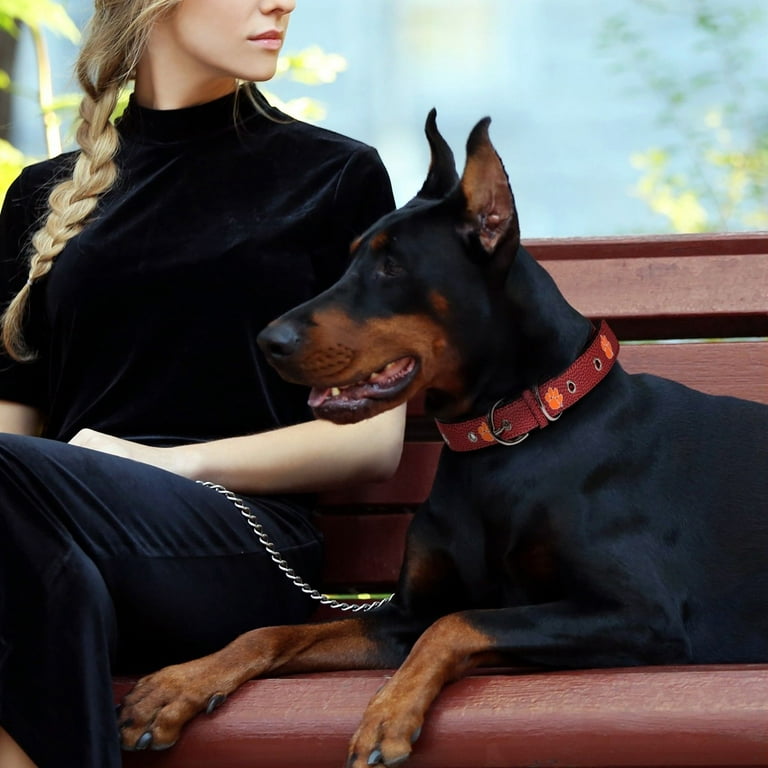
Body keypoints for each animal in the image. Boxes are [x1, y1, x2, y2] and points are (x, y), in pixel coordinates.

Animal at [120, 111, 768, 764]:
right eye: (350, 259)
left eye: (391, 266)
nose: (268, 342)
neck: (504, 438)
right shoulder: (403, 612)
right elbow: (274, 630)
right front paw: (180, 684)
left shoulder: (639, 613)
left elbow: (457, 622)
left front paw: (386, 714)